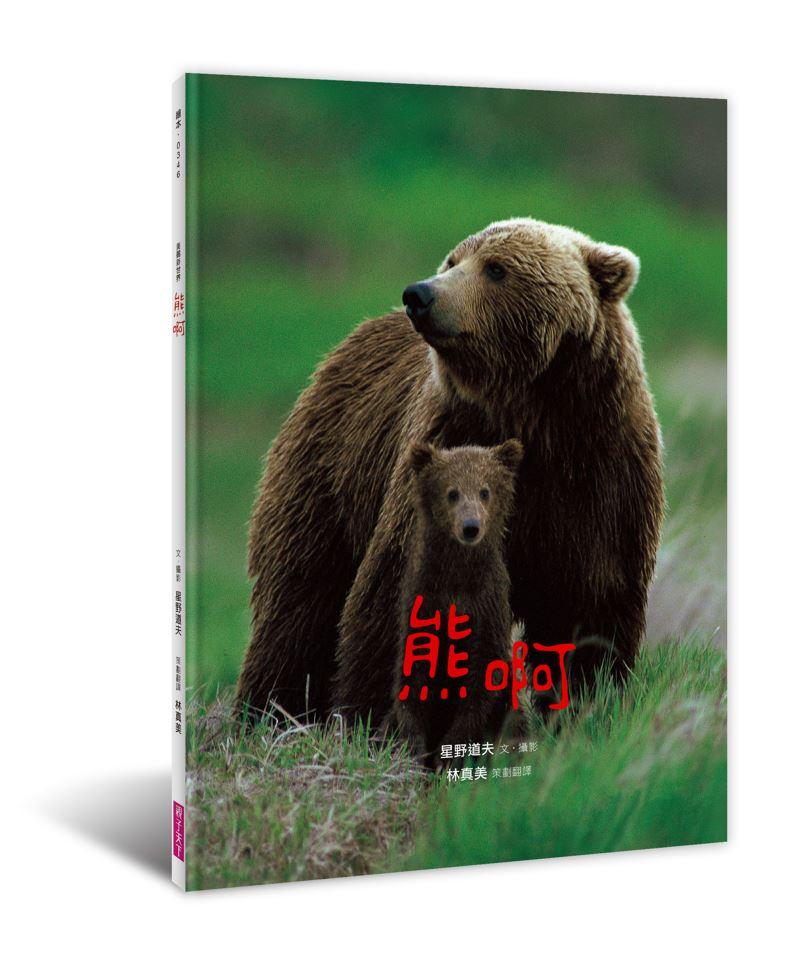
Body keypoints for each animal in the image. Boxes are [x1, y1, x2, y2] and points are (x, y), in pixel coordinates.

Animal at [237, 217, 664, 727]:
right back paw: (268, 710)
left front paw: (585, 705)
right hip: (326, 473)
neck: (531, 412)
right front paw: (374, 715)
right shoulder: (444, 447)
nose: (419, 294)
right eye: (453, 260)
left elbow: (592, 601)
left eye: (496, 268)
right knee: (300, 596)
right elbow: (399, 588)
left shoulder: (601, 472)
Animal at [394, 440, 523, 766]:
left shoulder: (486, 607)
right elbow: (414, 675)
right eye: (451, 492)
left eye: (485, 491)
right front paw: (414, 746)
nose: (470, 526)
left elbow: (482, 683)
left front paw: (450, 752)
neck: (458, 575)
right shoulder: (425, 599)